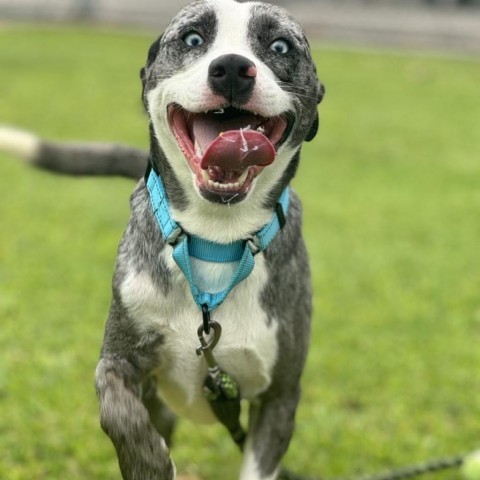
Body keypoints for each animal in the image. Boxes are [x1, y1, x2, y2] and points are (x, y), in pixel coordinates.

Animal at [0, 0, 326, 480]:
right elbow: (118, 412)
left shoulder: (280, 396)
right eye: (192, 38)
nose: (232, 68)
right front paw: (148, 464)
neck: (216, 237)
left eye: (281, 46)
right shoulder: (119, 360)